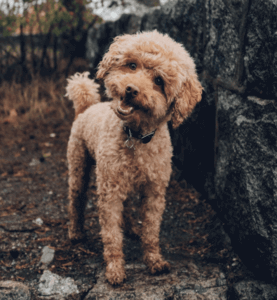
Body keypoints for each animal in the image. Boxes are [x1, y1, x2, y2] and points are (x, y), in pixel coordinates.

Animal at [65, 31, 202, 286]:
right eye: (131, 65)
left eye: (159, 81)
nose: (130, 89)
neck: (135, 137)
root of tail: (86, 107)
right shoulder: (109, 192)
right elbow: (111, 234)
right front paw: (115, 269)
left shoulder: (154, 192)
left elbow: (151, 231)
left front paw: (154, 261)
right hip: (79, 165)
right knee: (76, 200)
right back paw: (76, 232)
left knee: (126, 206)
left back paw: (130, 228)